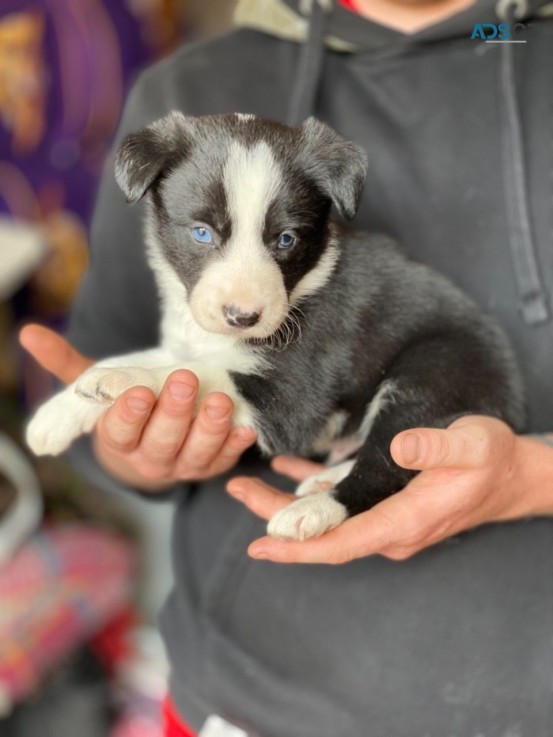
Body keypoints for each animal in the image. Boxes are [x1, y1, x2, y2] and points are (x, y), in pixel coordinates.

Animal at [27, 113, 528, 540]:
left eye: (285, 240)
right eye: (202, 233)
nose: (243, 316)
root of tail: (510, 397)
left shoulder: (290, 402)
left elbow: (191, 374)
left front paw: (116, 380)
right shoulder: (190, 342)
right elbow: (159, 358)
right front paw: (60, 411)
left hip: (430, 374)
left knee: (386, 465)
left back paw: (315, 509)